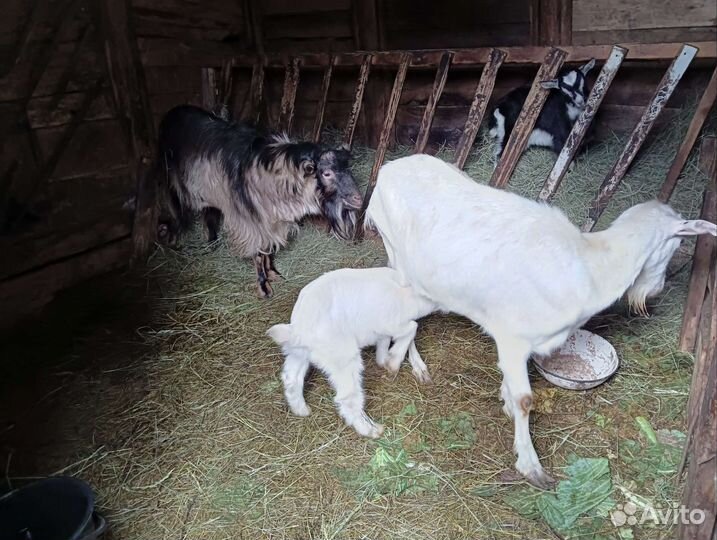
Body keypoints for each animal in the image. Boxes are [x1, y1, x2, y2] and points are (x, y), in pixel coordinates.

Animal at [156, 105, 363, 297]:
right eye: (326, 173)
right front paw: (264, 287)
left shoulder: (271, 220)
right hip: (172, 182)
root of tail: (174, 112)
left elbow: (268, 250)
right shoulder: (251, 221)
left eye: (347, 168)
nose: (359, 199)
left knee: (209, 212)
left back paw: (211, 242)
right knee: (177, 211)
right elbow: (258, 253)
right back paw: (172, 237)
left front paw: (273, 273)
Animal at [267, 267, 436, 438]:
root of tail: (297, 330)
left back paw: (302, 410)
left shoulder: (383, 332)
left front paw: (385, 362)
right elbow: (412, 328)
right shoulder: (390, 324)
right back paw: (372, 430)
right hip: (343, 358)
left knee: (291, 378)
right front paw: (393, 363)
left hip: (298, 354)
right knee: (347, 398)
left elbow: (385, 344)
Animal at [366, 154, 717, 489]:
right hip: (395, 252)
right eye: (679, 242)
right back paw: (415, 365)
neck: (592, 266)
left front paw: (505, 401)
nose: (656, 290)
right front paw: (530, 466)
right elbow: (525, 400)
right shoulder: (512, 337)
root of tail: (388, 169)